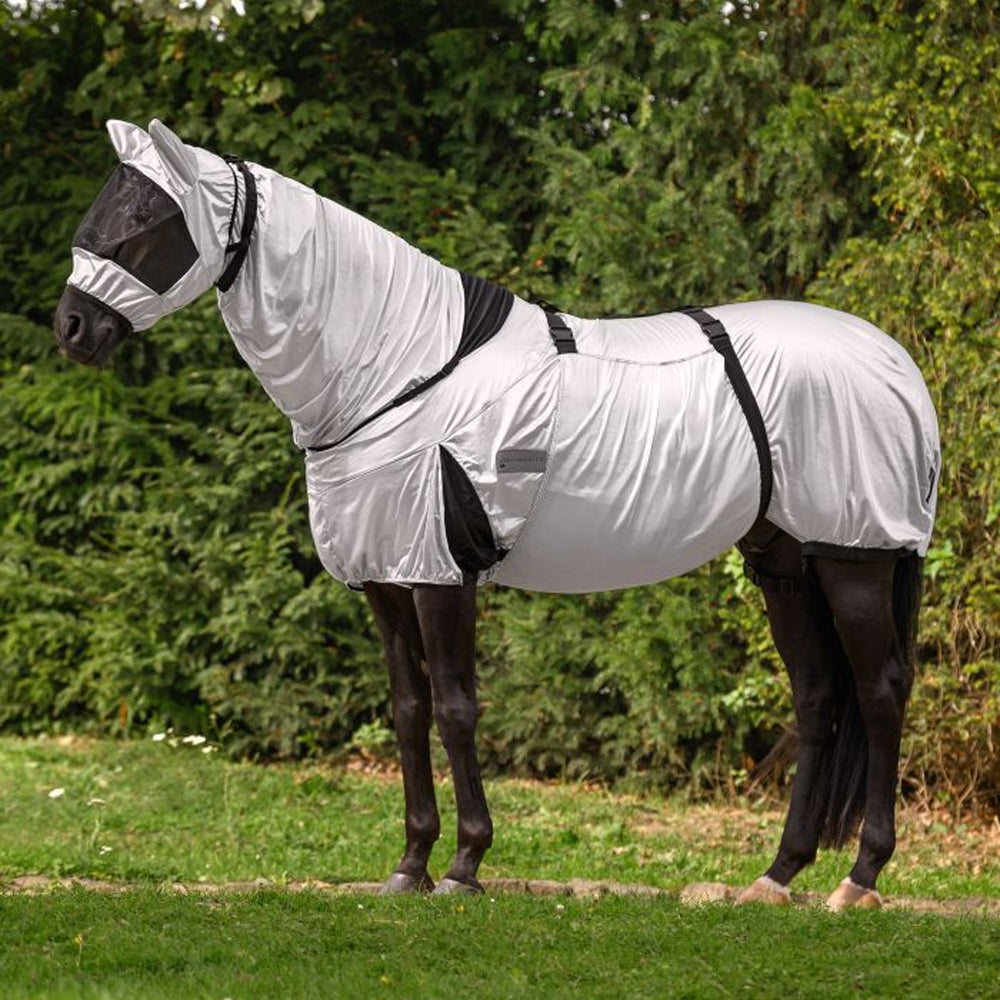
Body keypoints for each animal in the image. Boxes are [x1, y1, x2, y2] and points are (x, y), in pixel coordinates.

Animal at [53, 120, 939, 910]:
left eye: (150, 220)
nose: (71, 327)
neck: (399, 370)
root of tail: (895, 363)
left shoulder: (442, 572)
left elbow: (456, 709)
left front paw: (464, 864)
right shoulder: (385, 577)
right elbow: (409, 711)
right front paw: (410, 864)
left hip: (854, 555)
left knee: (881, 690)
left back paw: (860, 878)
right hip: (784, 561)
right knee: (818, 697)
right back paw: (777, 876)